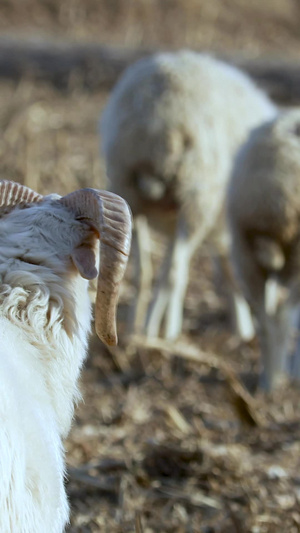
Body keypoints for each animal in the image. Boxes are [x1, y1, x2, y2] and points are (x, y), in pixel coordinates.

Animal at [99, 51, 278, 340]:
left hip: (128, 191)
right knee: (173, 274)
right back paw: (155, 332)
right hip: (196, 196)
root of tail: (160, 120)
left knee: (142, 271)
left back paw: (134, 330)